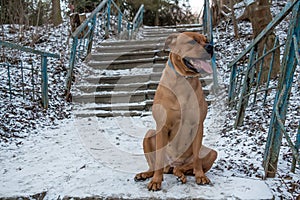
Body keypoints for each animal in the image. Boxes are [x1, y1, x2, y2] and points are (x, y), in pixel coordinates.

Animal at [135, 32, 217, 191]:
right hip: (149, 134)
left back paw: (181, 174)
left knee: (186, 167)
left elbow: (197, 158)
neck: (183, 80)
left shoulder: (198, 125)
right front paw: (156, 181)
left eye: (207, 40)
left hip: (211, 152)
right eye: (192, 42)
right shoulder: (162, 126)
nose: (211, 47)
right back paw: (147, 174)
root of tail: (172, 165)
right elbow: (158, 158)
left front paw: (200, 176)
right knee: (156, 165)